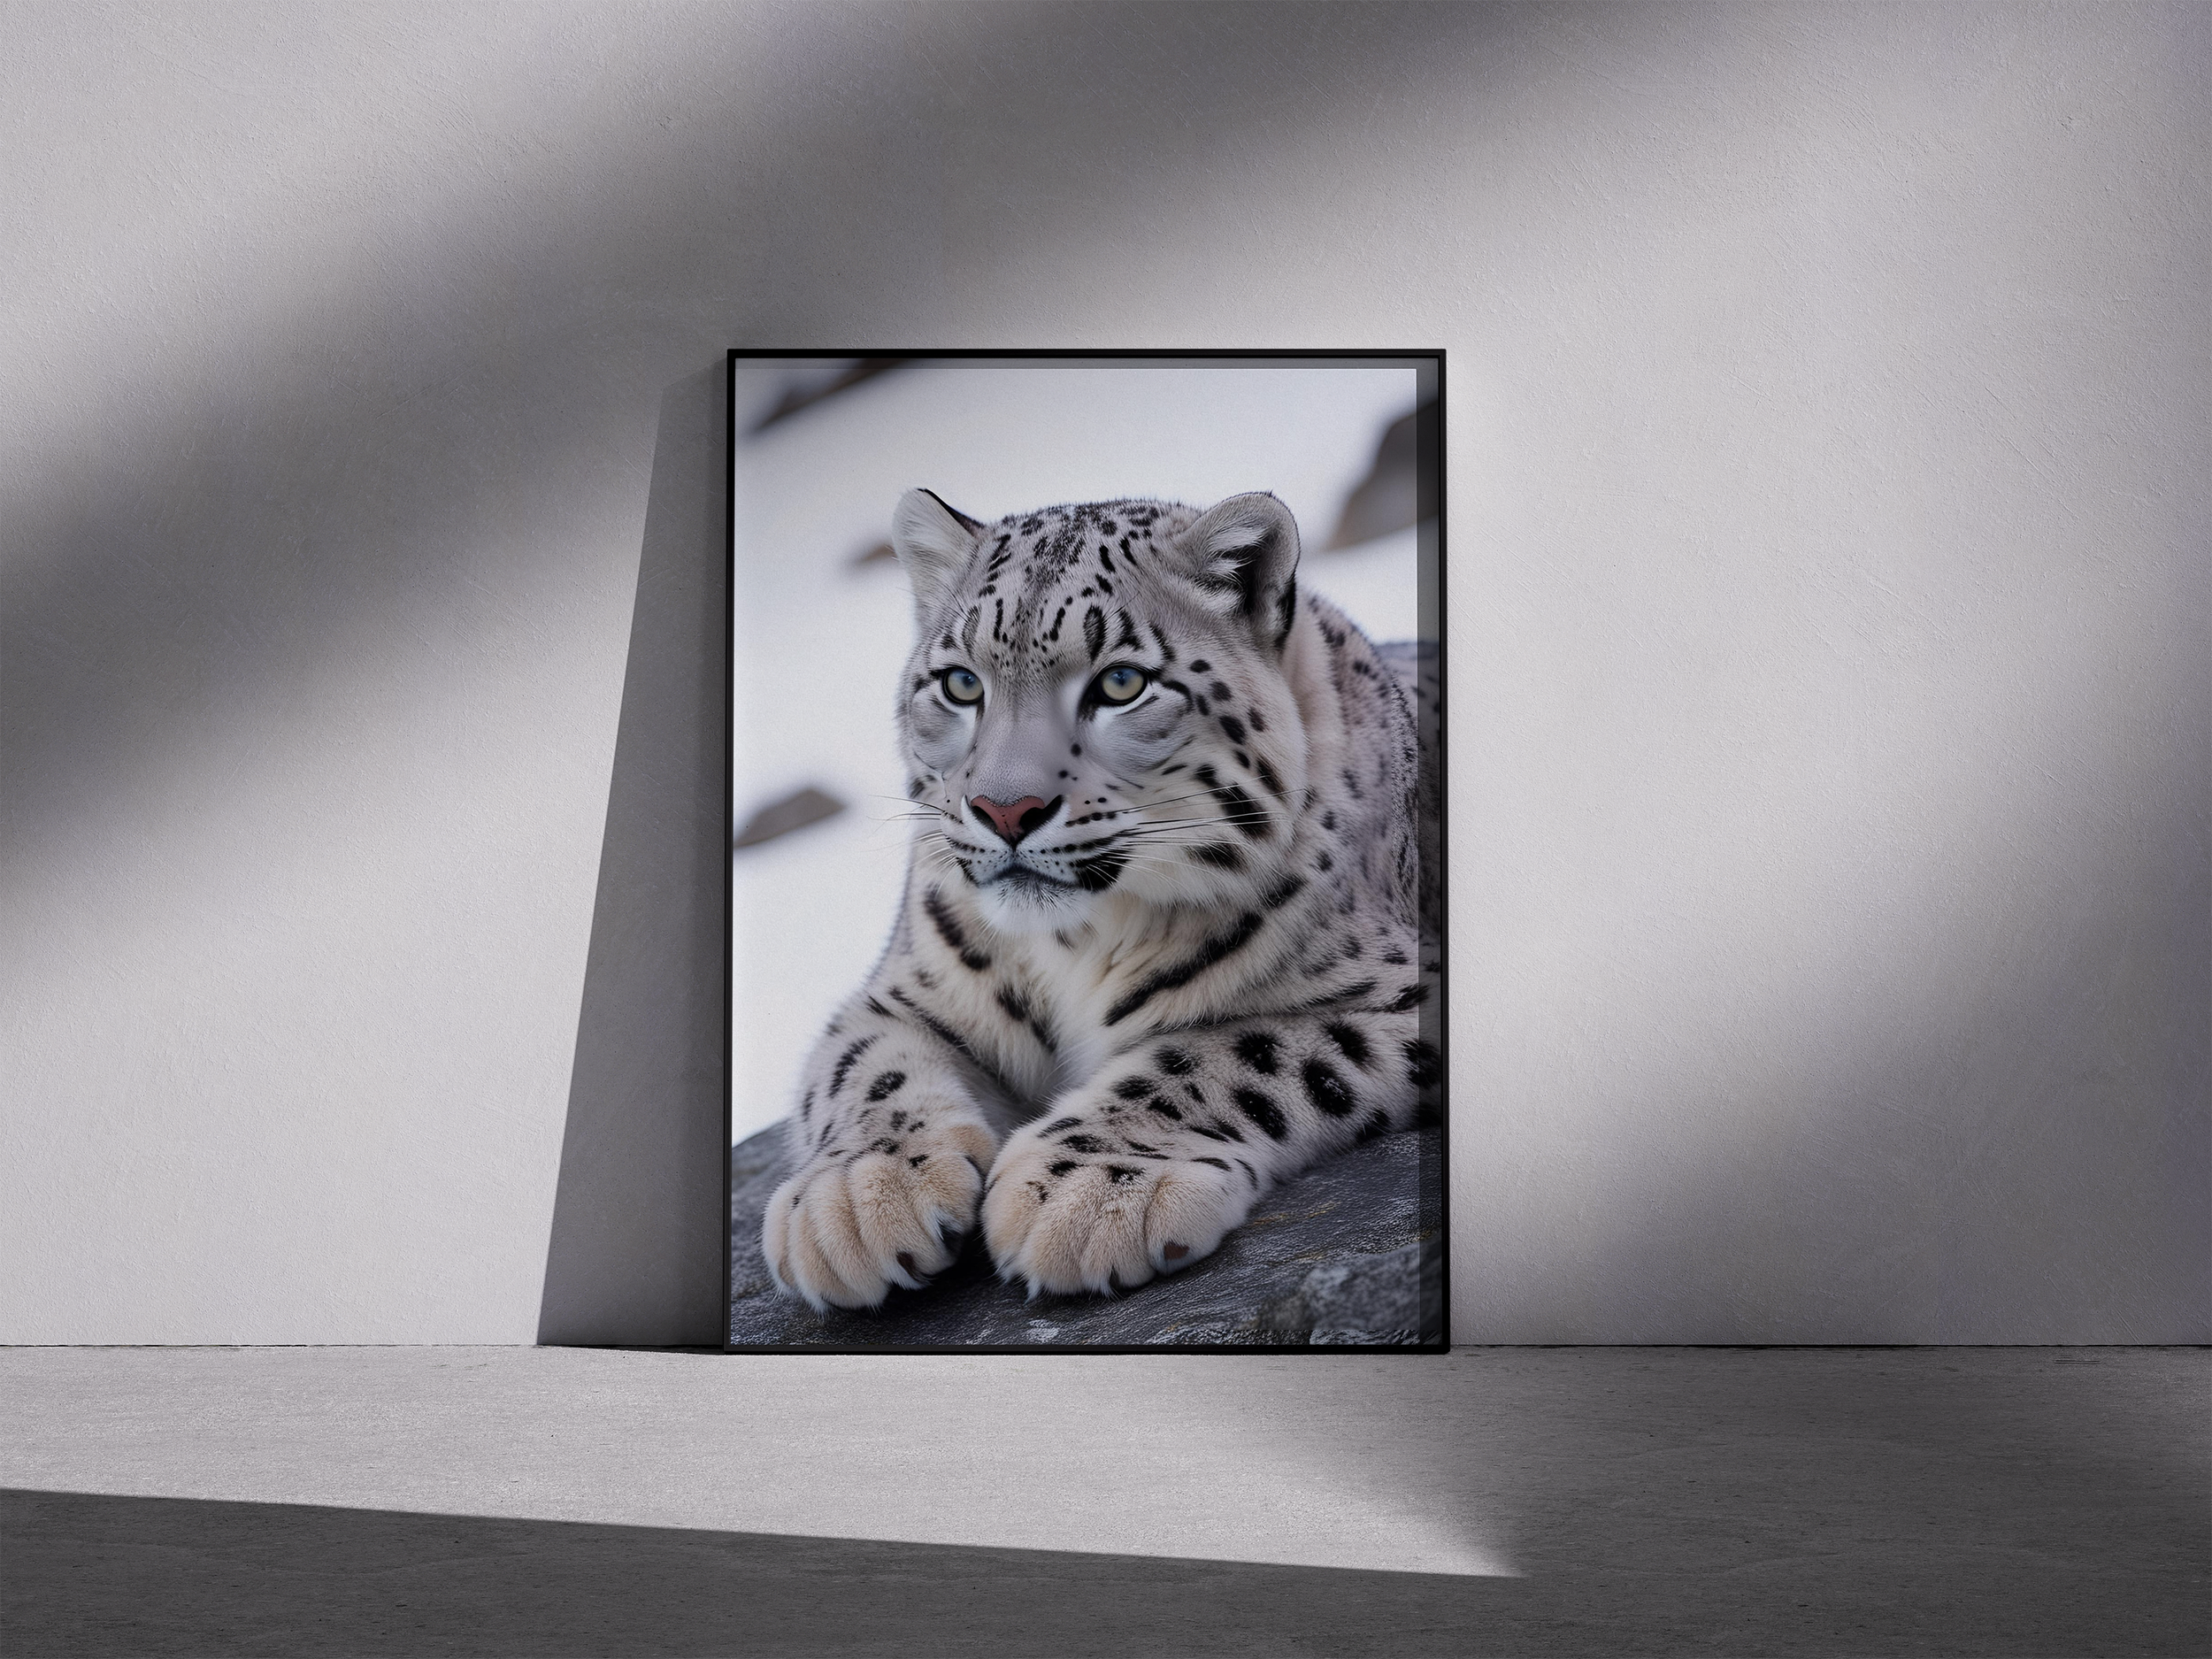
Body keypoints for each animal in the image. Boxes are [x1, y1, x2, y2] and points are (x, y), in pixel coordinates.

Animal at [760, 487, 1440, 1309]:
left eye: (1121, 683)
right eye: (960, 683)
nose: (1005, 809)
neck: (1076, 948)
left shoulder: (1399, 990)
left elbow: (1227, 1050)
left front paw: (1083, 1191)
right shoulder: (903, 992)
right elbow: (864, 1067)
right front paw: (857, 1198)